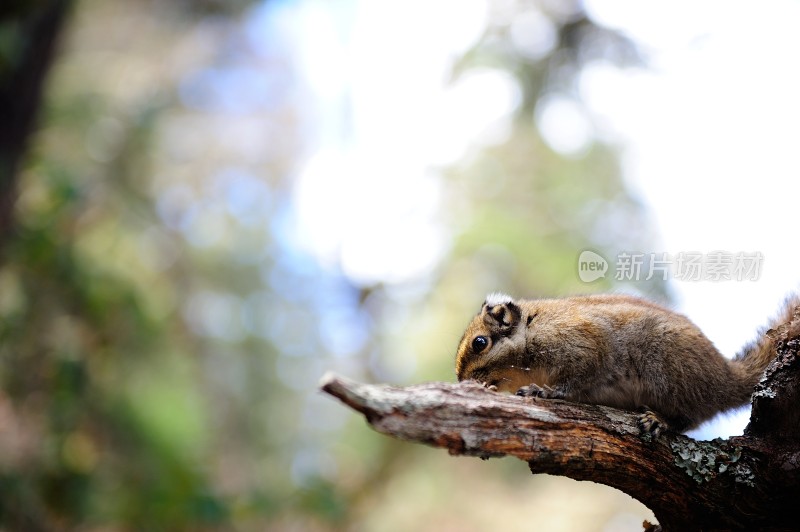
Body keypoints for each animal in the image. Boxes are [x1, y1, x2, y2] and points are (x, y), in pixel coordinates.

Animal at [454, 294, 796, 434]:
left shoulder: (585, 345)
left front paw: (545, 392)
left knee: (690, 417)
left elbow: (576, 380)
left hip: (671, 375)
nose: (462, 383)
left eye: (480, 343)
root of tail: (727, 377)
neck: (532, 328)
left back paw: (661, 421)